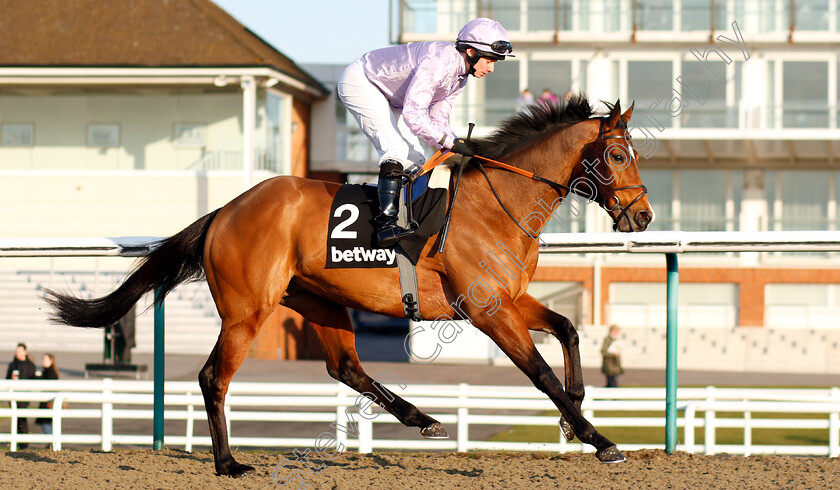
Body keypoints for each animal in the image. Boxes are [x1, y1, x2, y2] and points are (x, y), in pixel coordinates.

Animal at [46, 94, 656, 474]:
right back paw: (227, 463)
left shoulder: (508, 299)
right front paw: (600, 439)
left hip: (321, 301)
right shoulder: (488, 310)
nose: (643, 216)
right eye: (618, 154)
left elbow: (568, 328)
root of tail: (225, 210)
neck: (495, 204)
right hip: (247, 310)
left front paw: (576, 414)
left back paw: (423, 419)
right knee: (213, 375)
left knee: (345, 367)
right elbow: (540, 373)